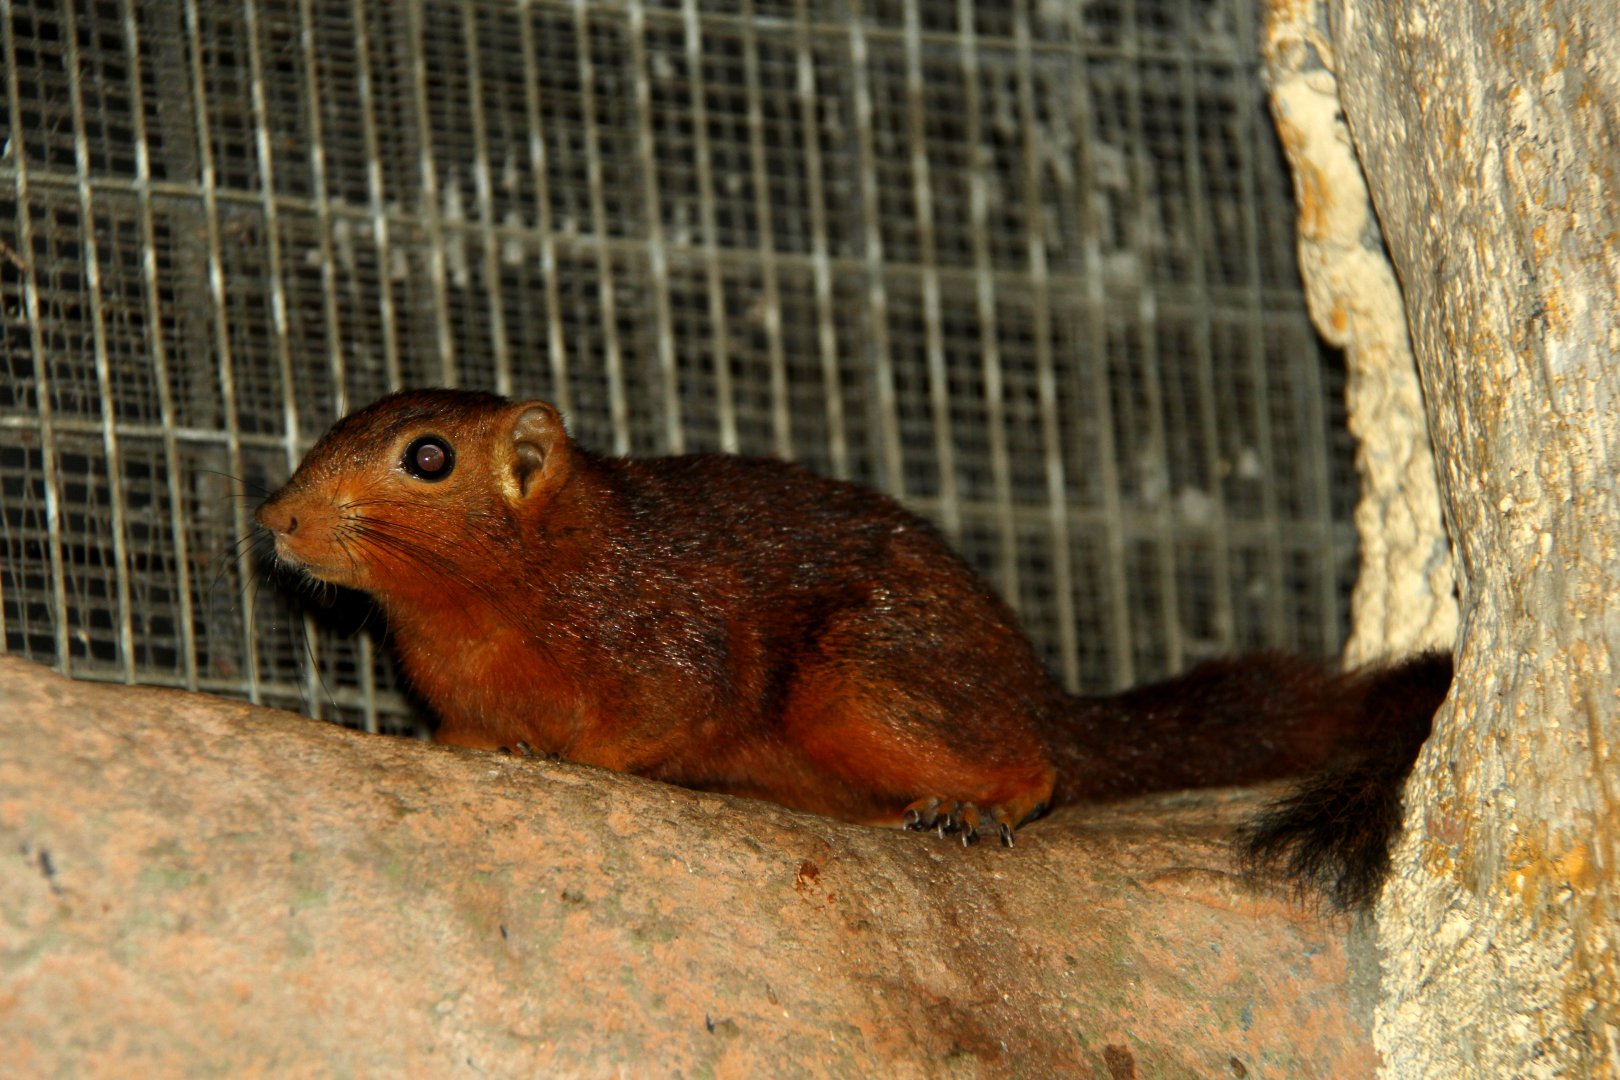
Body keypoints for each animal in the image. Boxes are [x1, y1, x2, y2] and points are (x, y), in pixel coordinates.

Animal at [256, 389, 1449, 906]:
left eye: (427, 457)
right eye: (327, 427)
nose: (277, 517)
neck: (485, 606)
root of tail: (1042, 690)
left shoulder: (668, 638)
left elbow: (654, 722)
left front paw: (559, 758)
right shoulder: (456, 695)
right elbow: (464, 737)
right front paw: (479, 753)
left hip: (862, 684)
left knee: (1042, 767)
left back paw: (969, 807)